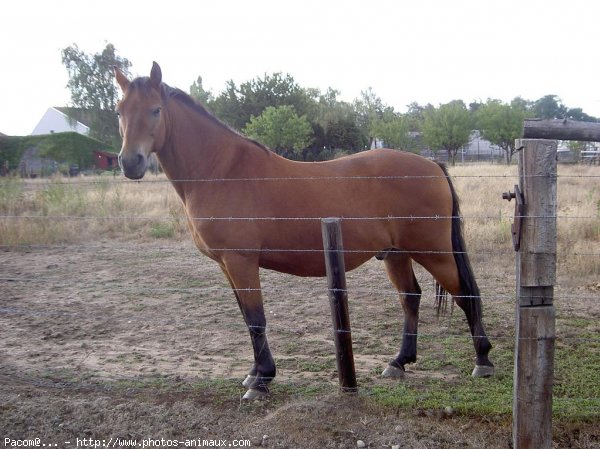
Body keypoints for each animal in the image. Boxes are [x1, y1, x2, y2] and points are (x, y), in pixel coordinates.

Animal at [112, 61, 492, 398]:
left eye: (156, 110)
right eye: (119, 111)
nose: (130, 162)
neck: (221, 171)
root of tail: (431, 164)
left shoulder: (240, 261)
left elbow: (256, 319)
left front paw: (262, 380)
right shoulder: (226, 266)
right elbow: (247, 319)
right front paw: (254, 373)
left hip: (435, 252)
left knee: (465, 295)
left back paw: (483, 361)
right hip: (396, 254)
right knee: (410, 297)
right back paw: (399, 362)